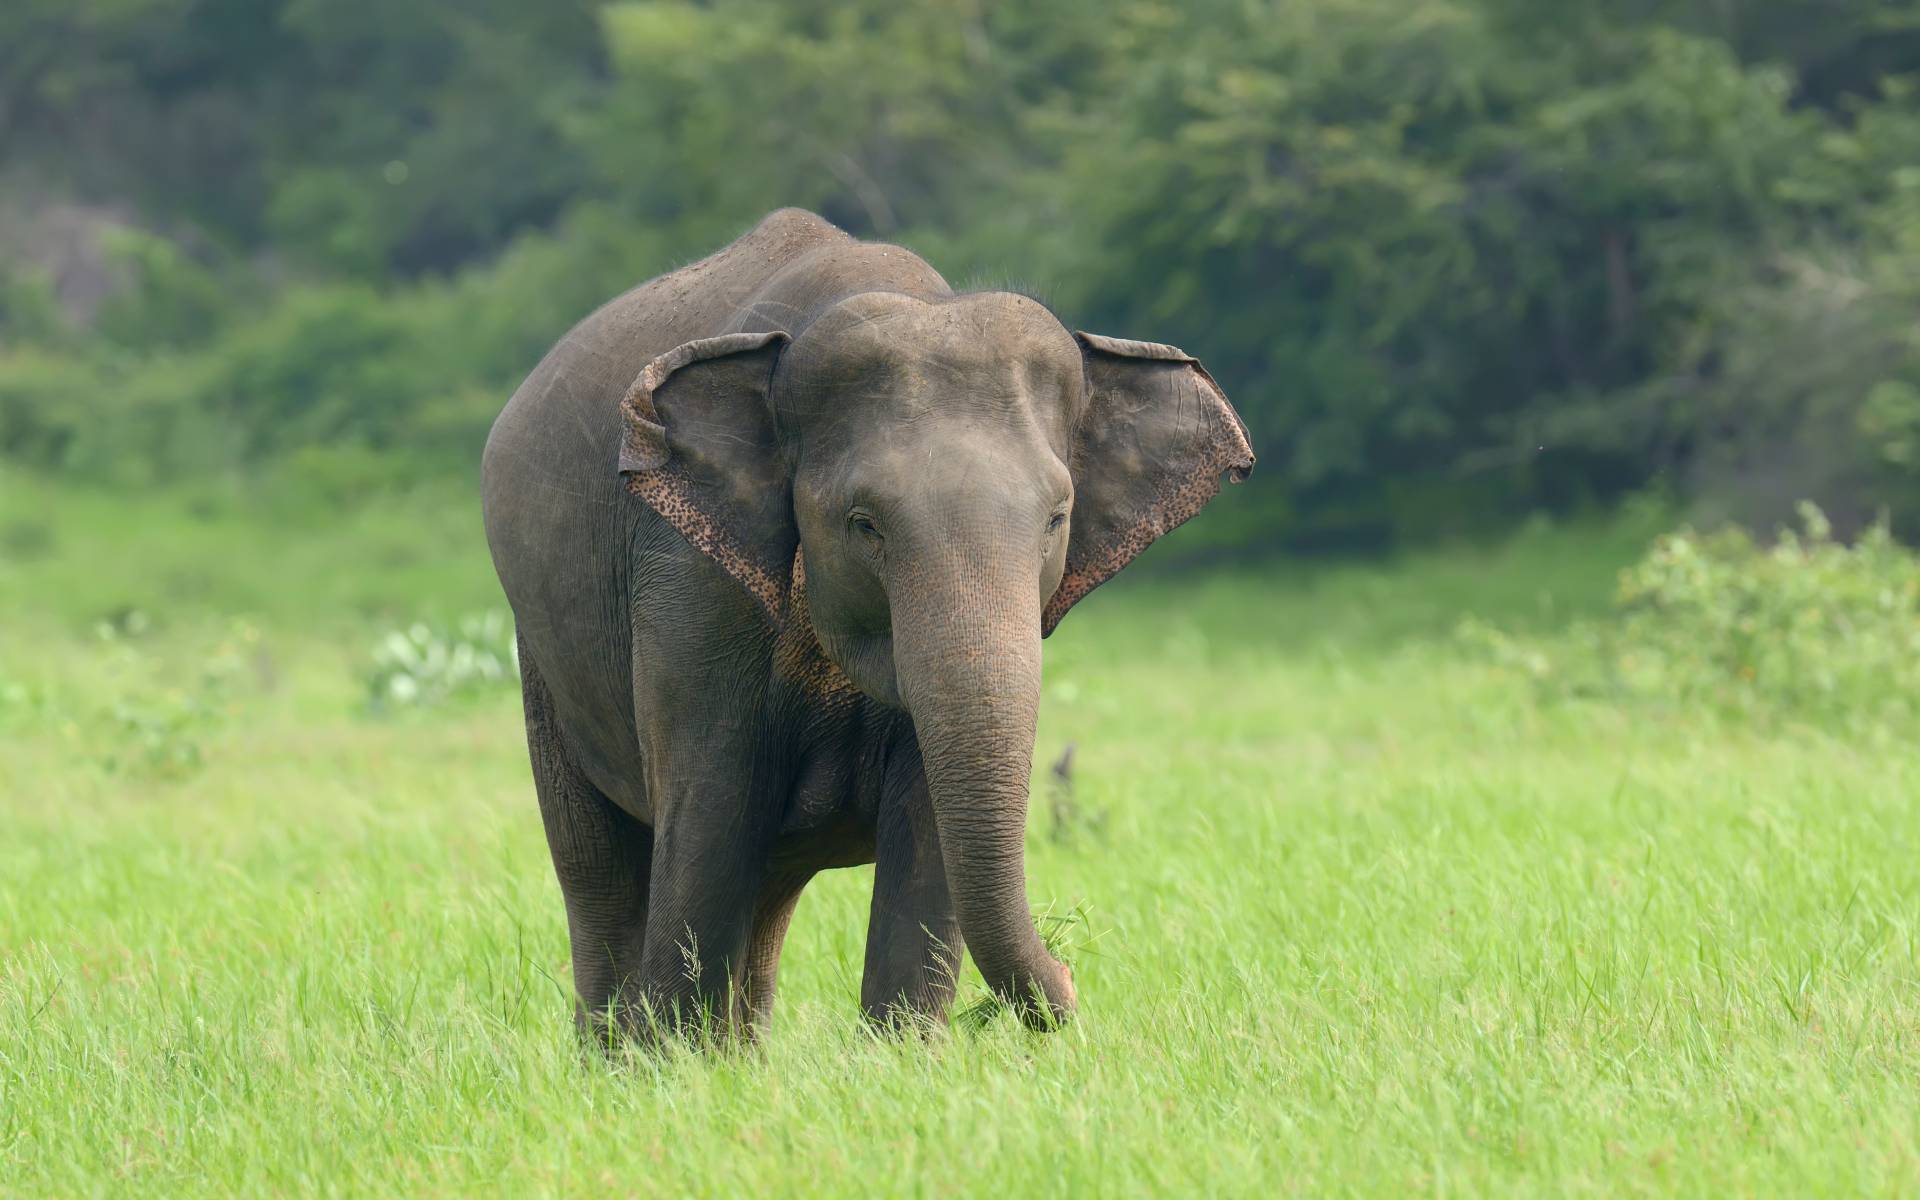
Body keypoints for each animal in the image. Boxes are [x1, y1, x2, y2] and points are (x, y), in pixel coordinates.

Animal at [481, 208, 1253, 1043]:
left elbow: (927, 832)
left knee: (765, 894)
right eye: (864, 523)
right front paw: (673, 1060)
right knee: (601, 873)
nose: (1072, 979)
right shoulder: (690, 582)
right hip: (541, 662)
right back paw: (619, 1052)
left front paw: (900, 1053)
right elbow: (710, 818)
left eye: (1057, 518)